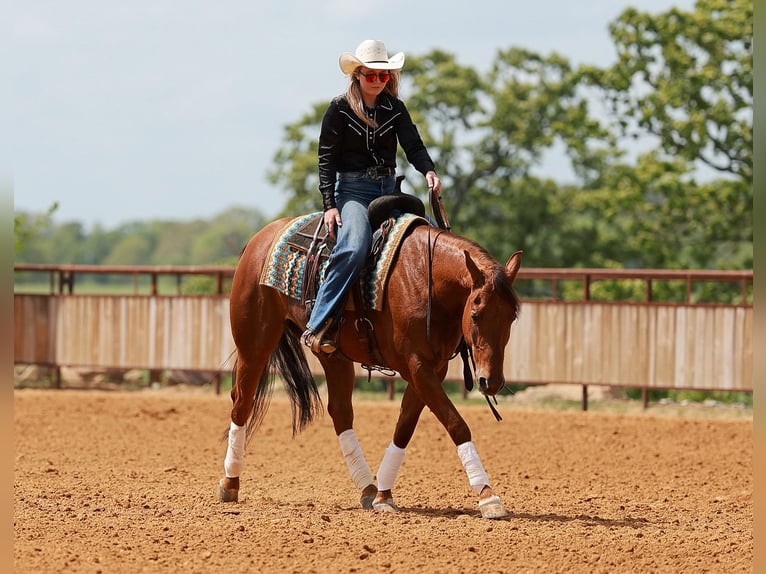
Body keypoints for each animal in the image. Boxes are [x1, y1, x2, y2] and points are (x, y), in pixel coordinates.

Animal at [218, 212, 522, 519]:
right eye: (475, 314)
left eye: (512, 317)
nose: (490, 382)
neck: (426, 280)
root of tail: (260, 238)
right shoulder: (417, 367)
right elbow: (456, 424)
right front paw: (487, 495)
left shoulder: (431, 369)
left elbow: (404, 428)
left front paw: (384, 495)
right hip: (255, 343)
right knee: (242, 402)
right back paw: (230, 482)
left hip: (334, 356)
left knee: (340, 412)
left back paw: (367, 488)